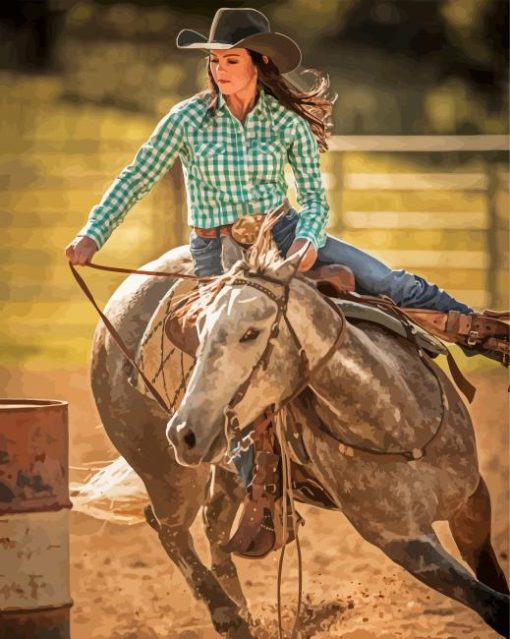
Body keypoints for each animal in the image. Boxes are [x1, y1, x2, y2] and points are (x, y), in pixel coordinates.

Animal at [166, 244, 510, 636]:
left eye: (250, 332)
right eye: (200, 331)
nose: (182, 433)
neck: (396, 428)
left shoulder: (472, 500)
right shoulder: (406, 544)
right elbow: (493, 604)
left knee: (213, 528)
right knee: (176, 530)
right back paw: (229, 615)